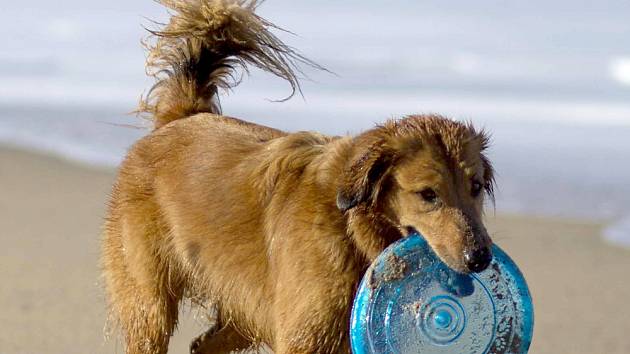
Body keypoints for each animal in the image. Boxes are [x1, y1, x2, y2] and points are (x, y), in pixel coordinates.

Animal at [102, 0, 498, 354]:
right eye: (428, 194)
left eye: (476, 188)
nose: (480, 258)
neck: (350, 228)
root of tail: (181, 117)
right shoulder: (304, 337)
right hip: (149, 305)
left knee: (202, 347)